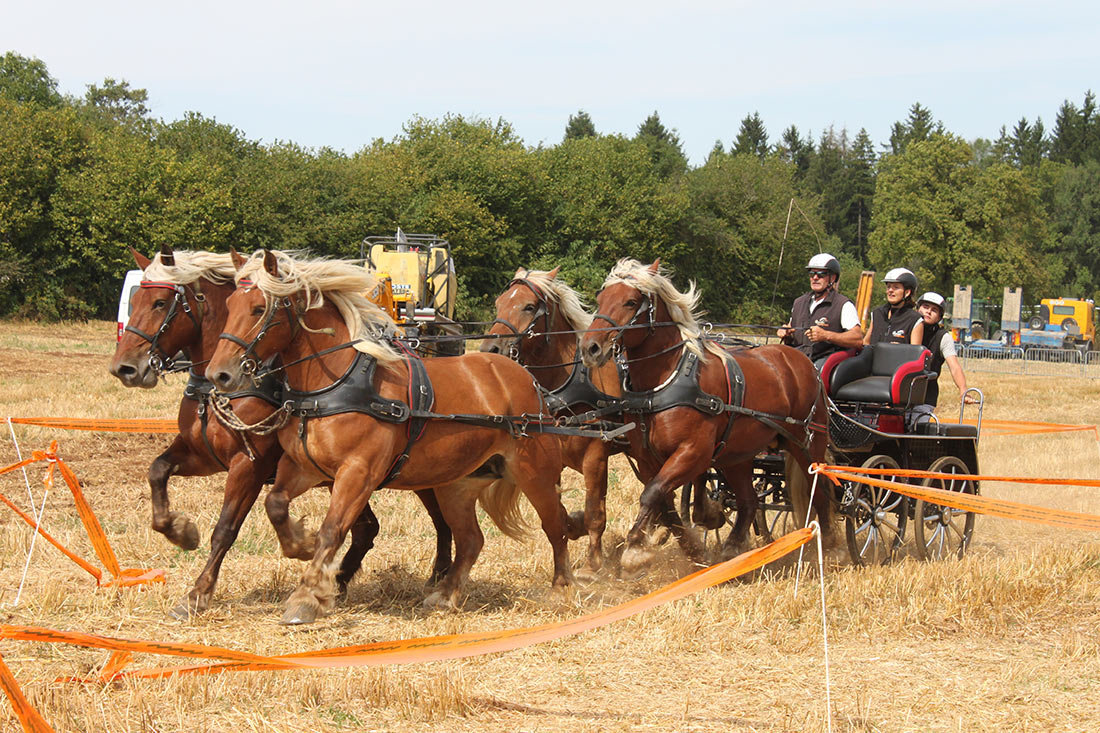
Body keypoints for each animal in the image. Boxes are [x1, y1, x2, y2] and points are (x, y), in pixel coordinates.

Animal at [109, 246, 453, 616]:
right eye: (135, 300)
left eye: (160, 303)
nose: (124, 368)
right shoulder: (201, 454)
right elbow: (157, 470)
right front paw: (181, 532)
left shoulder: (249, 466)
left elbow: (225, 529)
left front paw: (198, 593)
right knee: (368, 529)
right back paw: (340, 581)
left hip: (419, 476)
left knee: (439, 522)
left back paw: (437, 576)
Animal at [206, 250, 576, 620]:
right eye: (230, 304)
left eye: (259, 308)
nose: (218, 374)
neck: (336, 384)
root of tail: (526, 378)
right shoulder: (303, 467)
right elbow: (276, 504)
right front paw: (301, 543)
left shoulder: (358, 474)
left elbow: (332, 530)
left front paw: (307, 595)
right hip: (456, 484)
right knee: (471, 539)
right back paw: (445, 595)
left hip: (535, 472)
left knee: (555, 525)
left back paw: (562, 588)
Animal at [484, 265, 629, 572]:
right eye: (499, 303)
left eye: (529, 306)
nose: (490, 349)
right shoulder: (553, 460)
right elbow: (559, 513)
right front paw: (573, 524)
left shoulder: (596, 457)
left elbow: (595, 513)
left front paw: (594, 564)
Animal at [580, 256, 827, 572]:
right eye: (601, 299)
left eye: (631, 301)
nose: (590, 348)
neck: (664, 380)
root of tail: (803, 362)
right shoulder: (647, 457)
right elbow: (664, 502)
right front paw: (694, 545)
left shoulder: (693, 452)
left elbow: (653, 495)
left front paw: (635, 548)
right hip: (738, 454)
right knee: (749, 501)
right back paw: (733, 549)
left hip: (808, 445)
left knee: (823, 492)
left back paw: (835, 547)